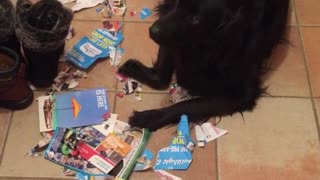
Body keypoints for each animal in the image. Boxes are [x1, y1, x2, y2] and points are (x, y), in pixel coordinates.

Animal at [119, 0, 292, 131]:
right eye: (179, 3)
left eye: (196, 18)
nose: (152, 31)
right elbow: (161, 77)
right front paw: (133, 68)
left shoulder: (241, 95)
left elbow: (185, 106)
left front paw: (150, 117)